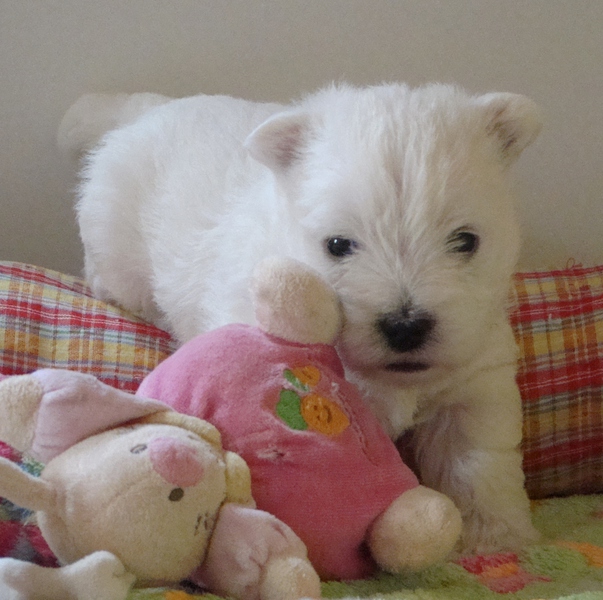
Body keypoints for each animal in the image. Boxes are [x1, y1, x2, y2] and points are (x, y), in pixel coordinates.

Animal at [59, 82, 542, 555]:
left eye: (466, 240)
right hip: (114, 245)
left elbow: (478, 461)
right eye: (338, 244)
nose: (405, 327)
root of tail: (146, 109)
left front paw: (494, 535)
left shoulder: (477, 383)